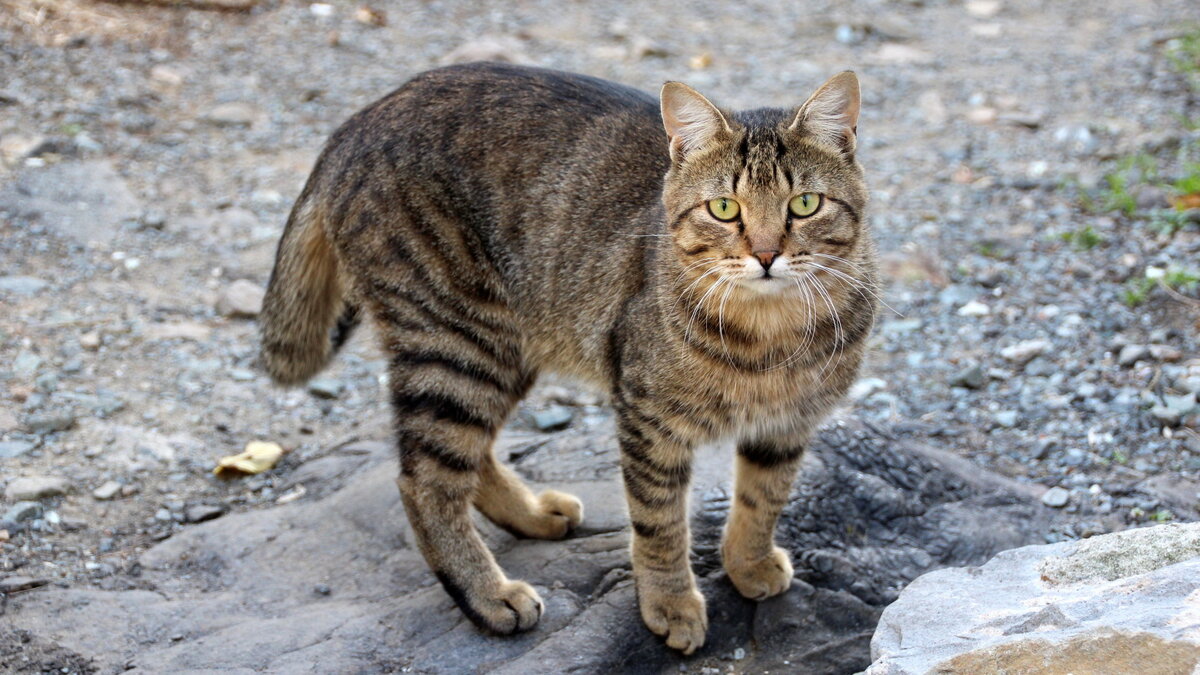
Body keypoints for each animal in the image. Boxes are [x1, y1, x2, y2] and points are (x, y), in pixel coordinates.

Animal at [258, 63, 878, 653]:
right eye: (725, 208)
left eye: (805, 204)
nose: (768, 255)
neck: (772, 335)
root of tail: (358, 120)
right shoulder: (648, 421)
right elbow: (660, 525)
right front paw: (670, 603)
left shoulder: (788, 423)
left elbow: (763, 498)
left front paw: (748, 563)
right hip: (456, 339)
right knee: (424, 480)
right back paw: (488, 595)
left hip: (501, 346)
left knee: (466, 457)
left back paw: (532, 515)